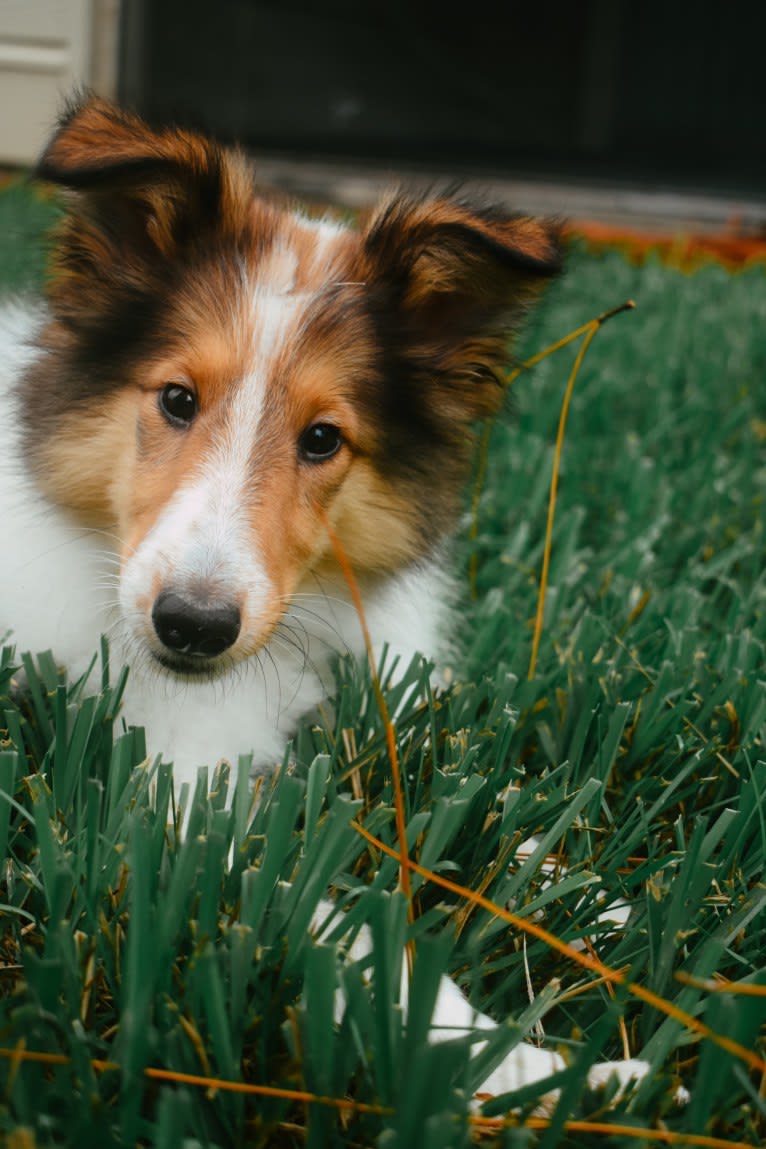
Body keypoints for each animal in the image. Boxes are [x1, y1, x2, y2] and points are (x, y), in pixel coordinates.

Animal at [0, 103, 652, 1107]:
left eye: (322, 439)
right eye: (177, 397)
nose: (191, 627)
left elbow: (494, 796)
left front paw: (605, 892)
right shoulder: (181, 790)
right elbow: (337, 928)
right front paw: (527, 1066)